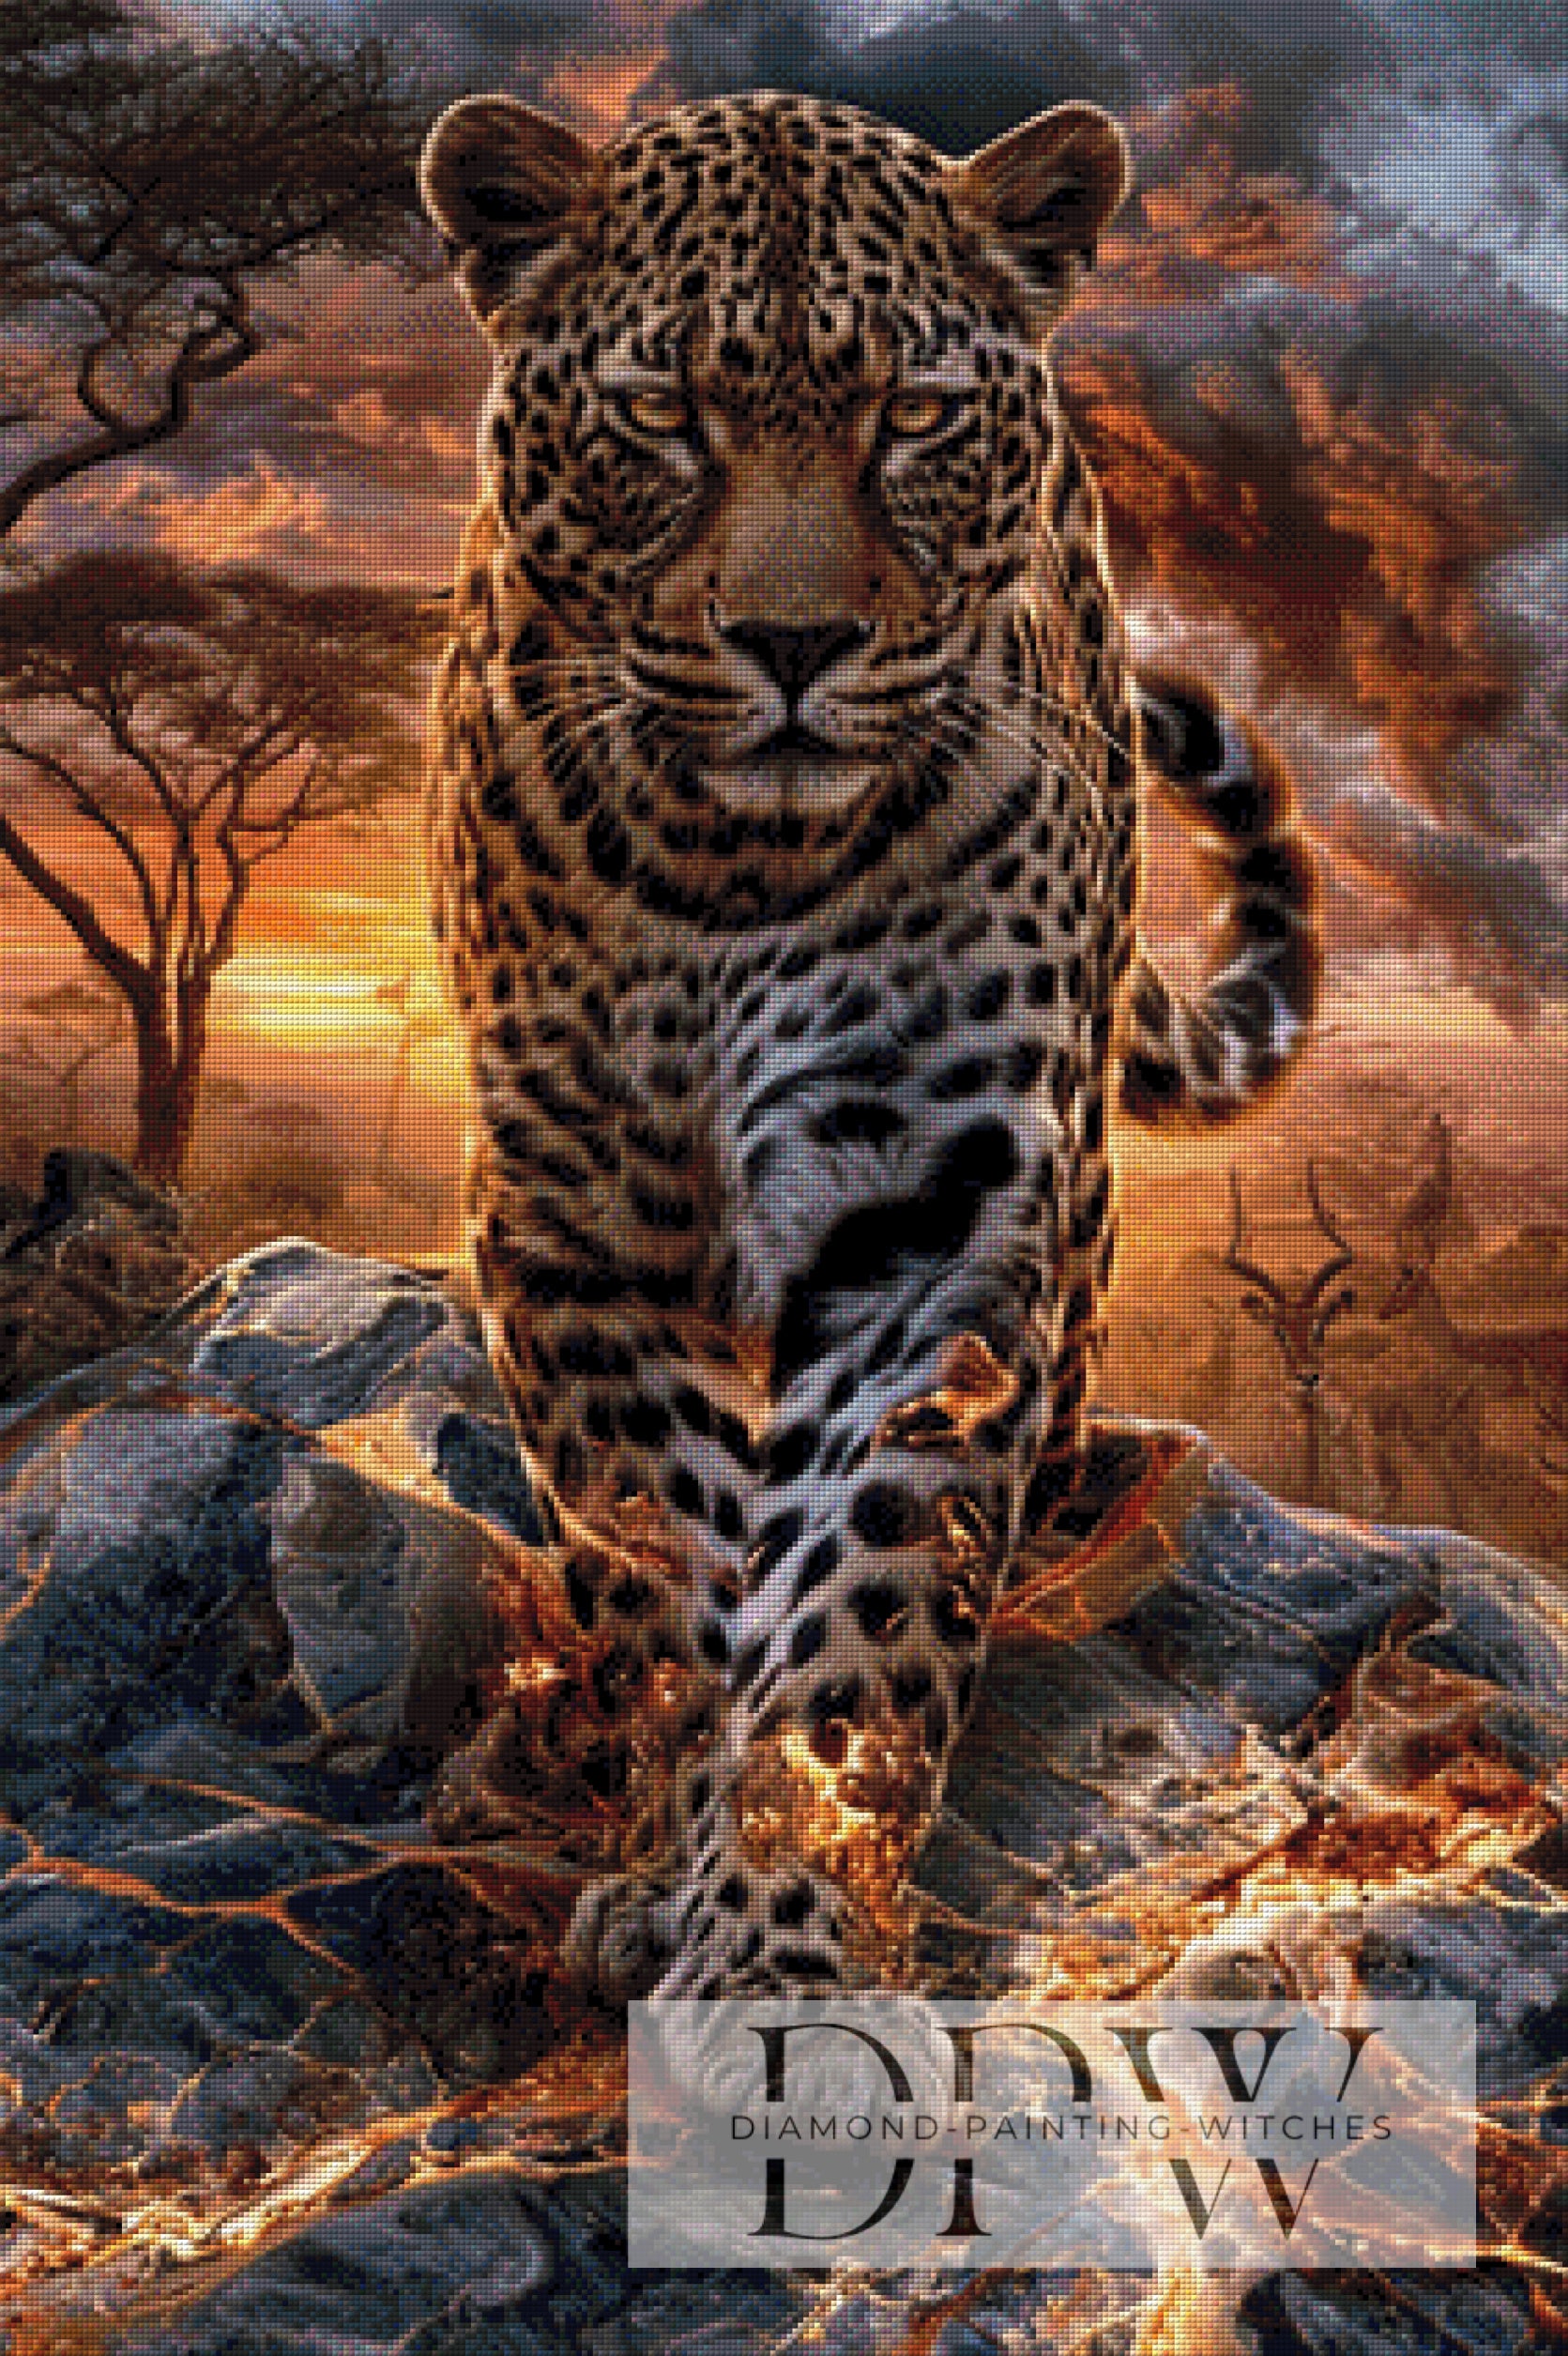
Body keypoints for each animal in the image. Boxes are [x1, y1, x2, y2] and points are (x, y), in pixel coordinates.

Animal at [417, 86, 1319, 2003]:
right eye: (661, 415)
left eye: (911, 416)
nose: (793, 644)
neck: (727, 863)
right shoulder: (570, 1211)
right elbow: (658, 1569)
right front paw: (669, 1864)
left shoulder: (931, 1196)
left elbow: (859, 1599)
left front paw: (780, 1953)